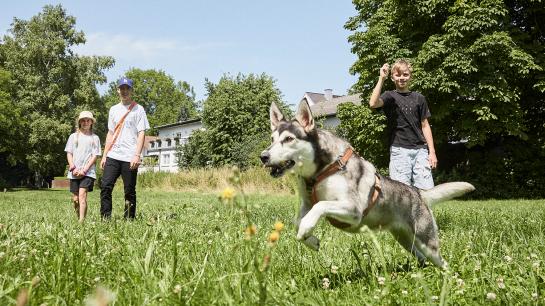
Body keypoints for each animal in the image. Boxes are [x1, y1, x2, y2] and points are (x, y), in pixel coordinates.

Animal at [260, 101, 472, 268]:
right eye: (272, 139)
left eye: (288, 139)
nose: (263, 156)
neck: (320, 172)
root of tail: (419, 192)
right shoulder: (306, 203)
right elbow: (296, 221)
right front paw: (311, 240)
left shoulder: (353, 210)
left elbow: (320, 205)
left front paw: (307, 228)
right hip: (406, 240)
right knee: (421, 257)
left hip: (427, 242)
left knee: (442, 263)